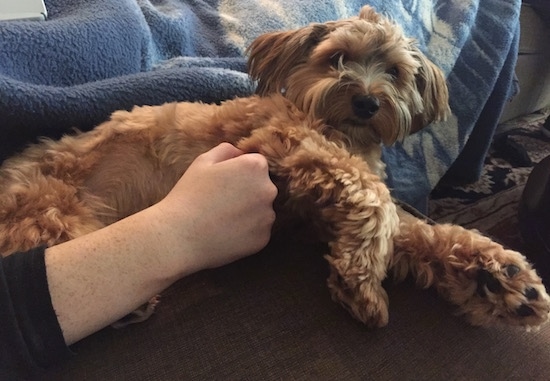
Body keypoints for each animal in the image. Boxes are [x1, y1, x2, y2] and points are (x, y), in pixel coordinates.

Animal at [1, 4, 550, 328]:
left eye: (394, 72)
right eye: (337, 59)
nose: (368, 101)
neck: (342, 131)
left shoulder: (318, 212)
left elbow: (413, 232)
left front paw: (498, 276)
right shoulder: (283, 143)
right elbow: (378, 203)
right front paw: (361, 280)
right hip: (50, 208)